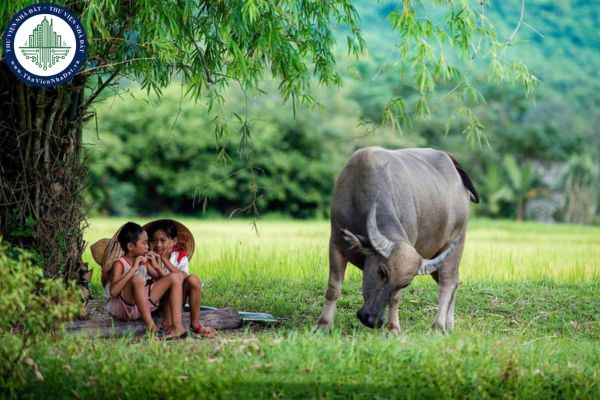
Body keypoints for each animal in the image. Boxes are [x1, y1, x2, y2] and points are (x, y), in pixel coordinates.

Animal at [318, 147, 478, 334]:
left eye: (405, 284)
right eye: (381, 271)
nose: (372, 320)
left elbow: (395, 299)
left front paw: (393, 328)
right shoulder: (336, 244)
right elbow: (333, 288)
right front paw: (323, 324)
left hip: (456, 244)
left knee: (448, 282)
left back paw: (438, 325)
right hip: (435, 257)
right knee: (454, 281)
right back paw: (449, 325)